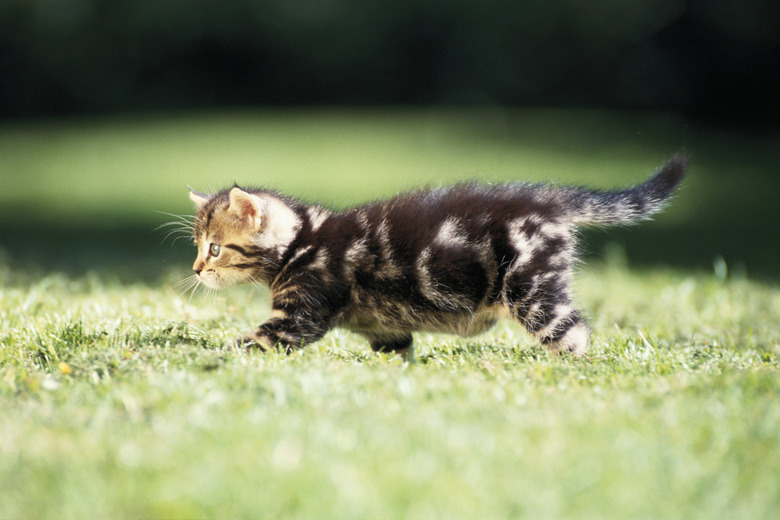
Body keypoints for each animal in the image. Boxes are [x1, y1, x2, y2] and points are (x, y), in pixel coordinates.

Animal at [186, 153, 684, 358]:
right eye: (198, 247)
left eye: (215, 248)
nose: (195, 268)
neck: (302, 241)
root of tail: (546, 200)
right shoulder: (387, 328)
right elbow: (397, 352)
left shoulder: (299, 316)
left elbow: (256, 340)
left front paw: (207, 357)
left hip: (531, 287)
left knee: (572, 331)